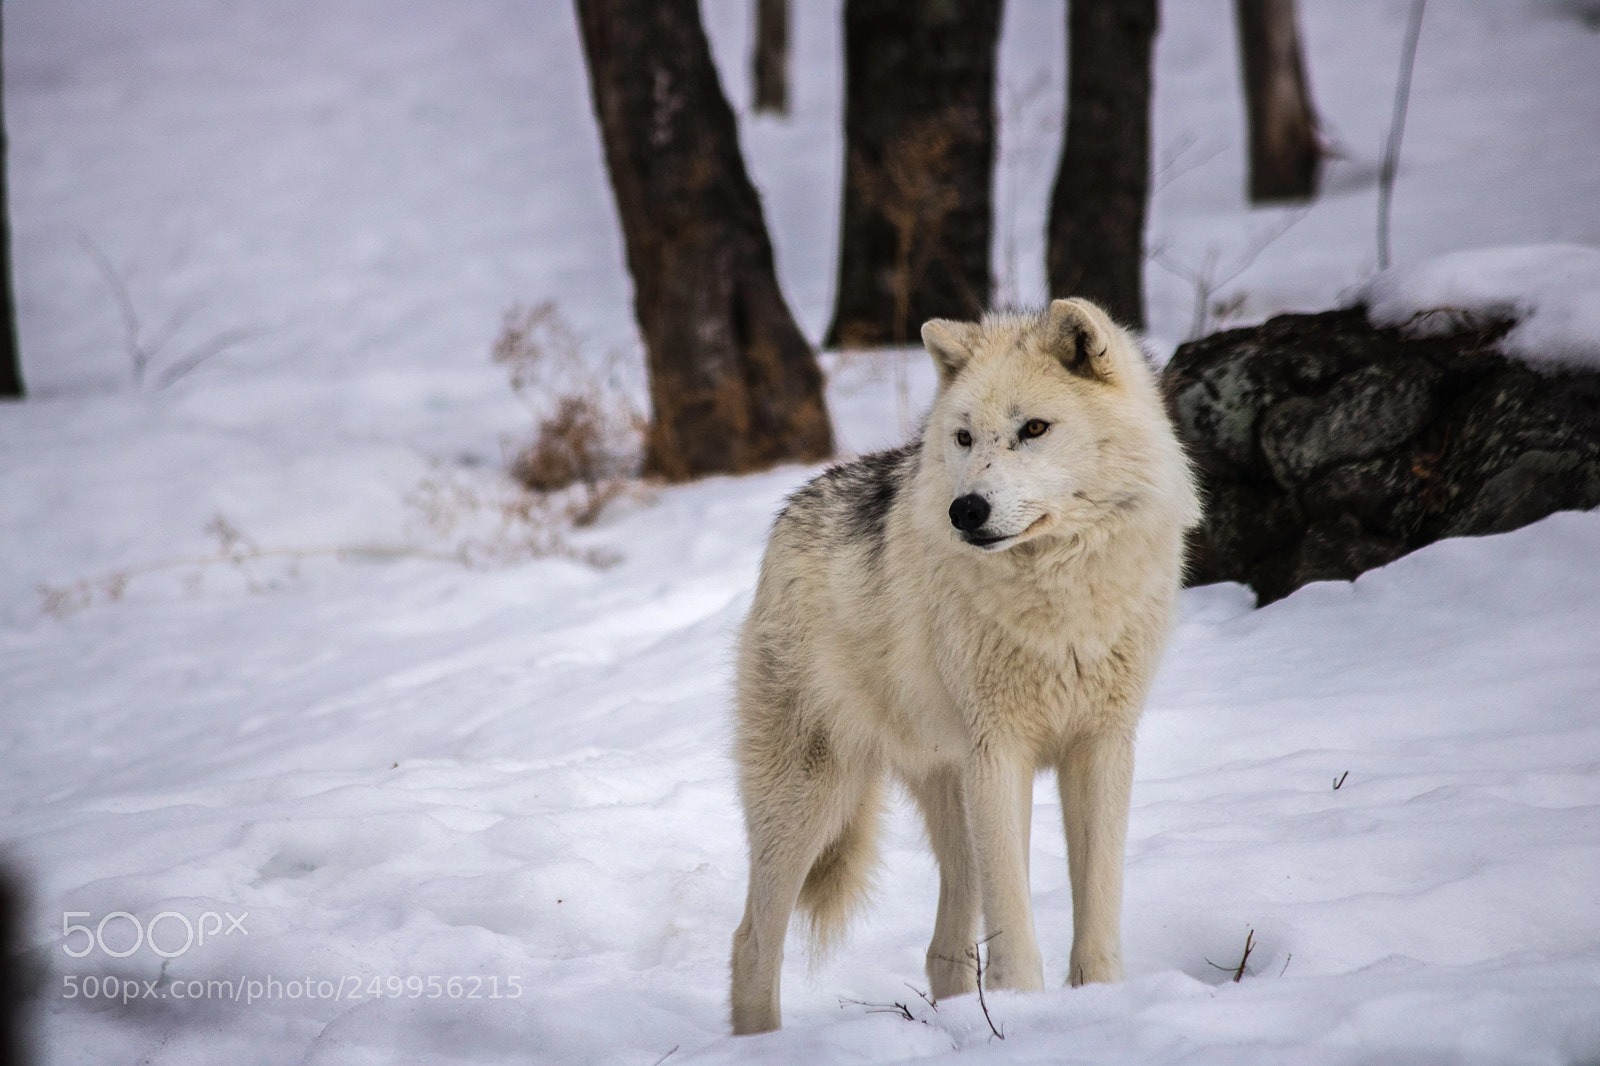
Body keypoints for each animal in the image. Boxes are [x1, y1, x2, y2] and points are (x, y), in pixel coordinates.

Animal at [728, 298, 1200, 1034]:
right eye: (963, 438)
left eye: (1033, 429)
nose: (966, 510)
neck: (1060, 595)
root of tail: (787, 513)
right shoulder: (1001, 752)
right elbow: (1014, 921)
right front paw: (1030, 1012)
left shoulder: (1102, 746)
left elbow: (1097, 906)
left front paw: (1100, 1004)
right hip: (811, 800)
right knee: (752, 943)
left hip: (951, 795)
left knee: (942, 951)